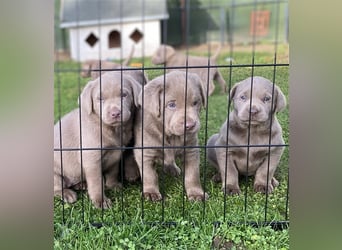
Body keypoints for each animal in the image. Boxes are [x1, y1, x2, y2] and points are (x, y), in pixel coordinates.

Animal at [54, 71, 142, 209]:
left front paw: (113, 185)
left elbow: (112, 172)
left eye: (124, 94)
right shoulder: (91, 159)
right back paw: (67, 193)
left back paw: (81, 184)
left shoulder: (115, 155)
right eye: (100, 99)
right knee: (57, 187)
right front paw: (100, 201)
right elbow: (96, 182)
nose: (115, 113)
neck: (112, 130)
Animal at [133, 70, 208, 201]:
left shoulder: (191, 150)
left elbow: (193, 175)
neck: (171, 136)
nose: (190, 125)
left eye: (195, 103)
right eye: (171, 105)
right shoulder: (145, 152)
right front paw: (150, 193)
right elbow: (149, 175)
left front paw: (196, 193)